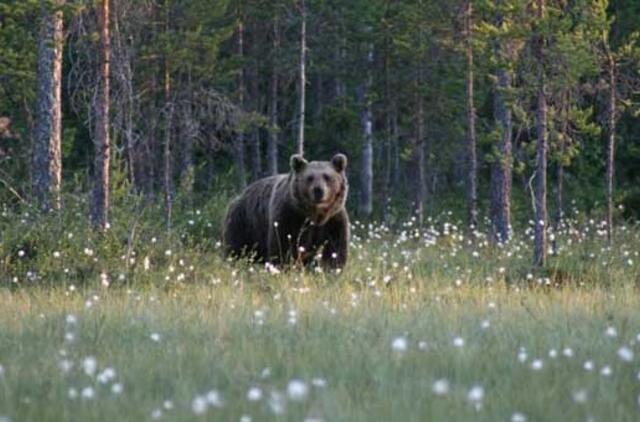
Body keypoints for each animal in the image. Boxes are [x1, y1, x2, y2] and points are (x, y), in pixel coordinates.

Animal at [221, 153, 350, 268]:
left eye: (327, 177)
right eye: (310, 178)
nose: (318, 190)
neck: (315, 215)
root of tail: (240, 195)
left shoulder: (333, 219)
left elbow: (335, 248)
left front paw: (331, 269)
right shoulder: (288, 215)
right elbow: (282, 245)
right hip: (244, 223)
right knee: (236, 250)